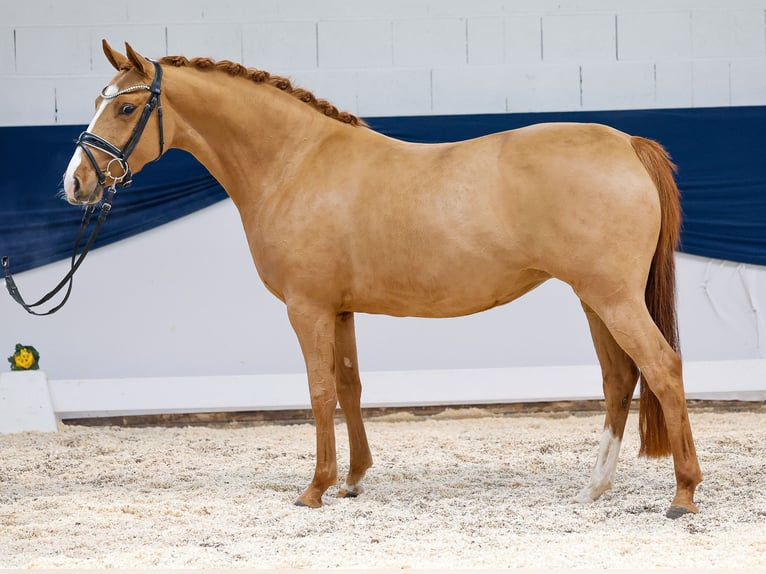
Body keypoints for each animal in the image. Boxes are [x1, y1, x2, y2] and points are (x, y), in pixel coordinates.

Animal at [63, 40, 704, 516]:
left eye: (125, 108)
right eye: (98, 100)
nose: (75, 183)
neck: (295, 163)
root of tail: (626, 142)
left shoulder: (306, 308)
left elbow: (320, 391)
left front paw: (315, 488)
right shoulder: (339, 308)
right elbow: (350, 386)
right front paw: (353, 480)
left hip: (613, 298)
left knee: (663, 369)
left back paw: (683, 494)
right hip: (596, 299)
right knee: (620, 378)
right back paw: (595, 486)